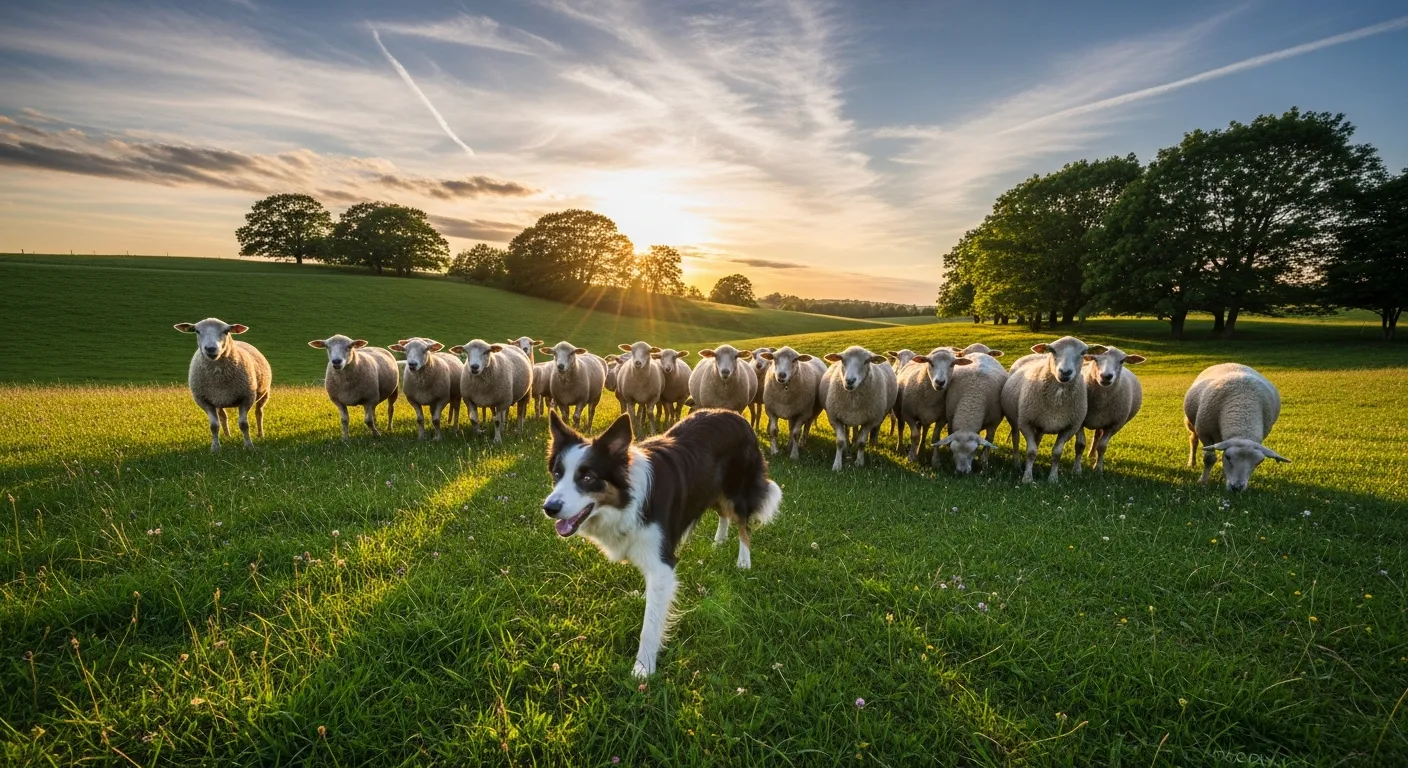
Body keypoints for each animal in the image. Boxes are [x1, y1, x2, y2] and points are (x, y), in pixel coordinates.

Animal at [173, 318, 271, 451]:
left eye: (226, 331)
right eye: (197, 331)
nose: (210, 348)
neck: (219, 377)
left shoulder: (247, 397)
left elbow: (243, 424)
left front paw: (249, 446)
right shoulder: (204, 400)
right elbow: (214, 426)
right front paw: (215, 448)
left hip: (264, 393)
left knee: (259, 413)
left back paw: (260, 434)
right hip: (218, 400)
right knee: (223, 416)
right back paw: (227, 436)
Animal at [1001, 336, 1107, 483]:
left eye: (1083, 353)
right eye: (1052, 350)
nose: (1065, 372)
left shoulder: (1070, 428)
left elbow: (1057, 453)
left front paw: (1053, 478)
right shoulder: (1026, 422)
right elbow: (1031, 452)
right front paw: (1027, 478)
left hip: (1040, 424)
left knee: (1037, 440)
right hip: (1015, 420)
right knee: (1016, 440)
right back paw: (1016, 465)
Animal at [1184, 363, 1289, 491]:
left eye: (1259, 462)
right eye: (1228, 457)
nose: (1237, 488)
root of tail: (1231, 363)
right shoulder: (1205, 433)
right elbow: (1209, 459)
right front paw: (1202, 481)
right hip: (1191, 423)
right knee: (1193, 440)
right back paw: (1191, 463)